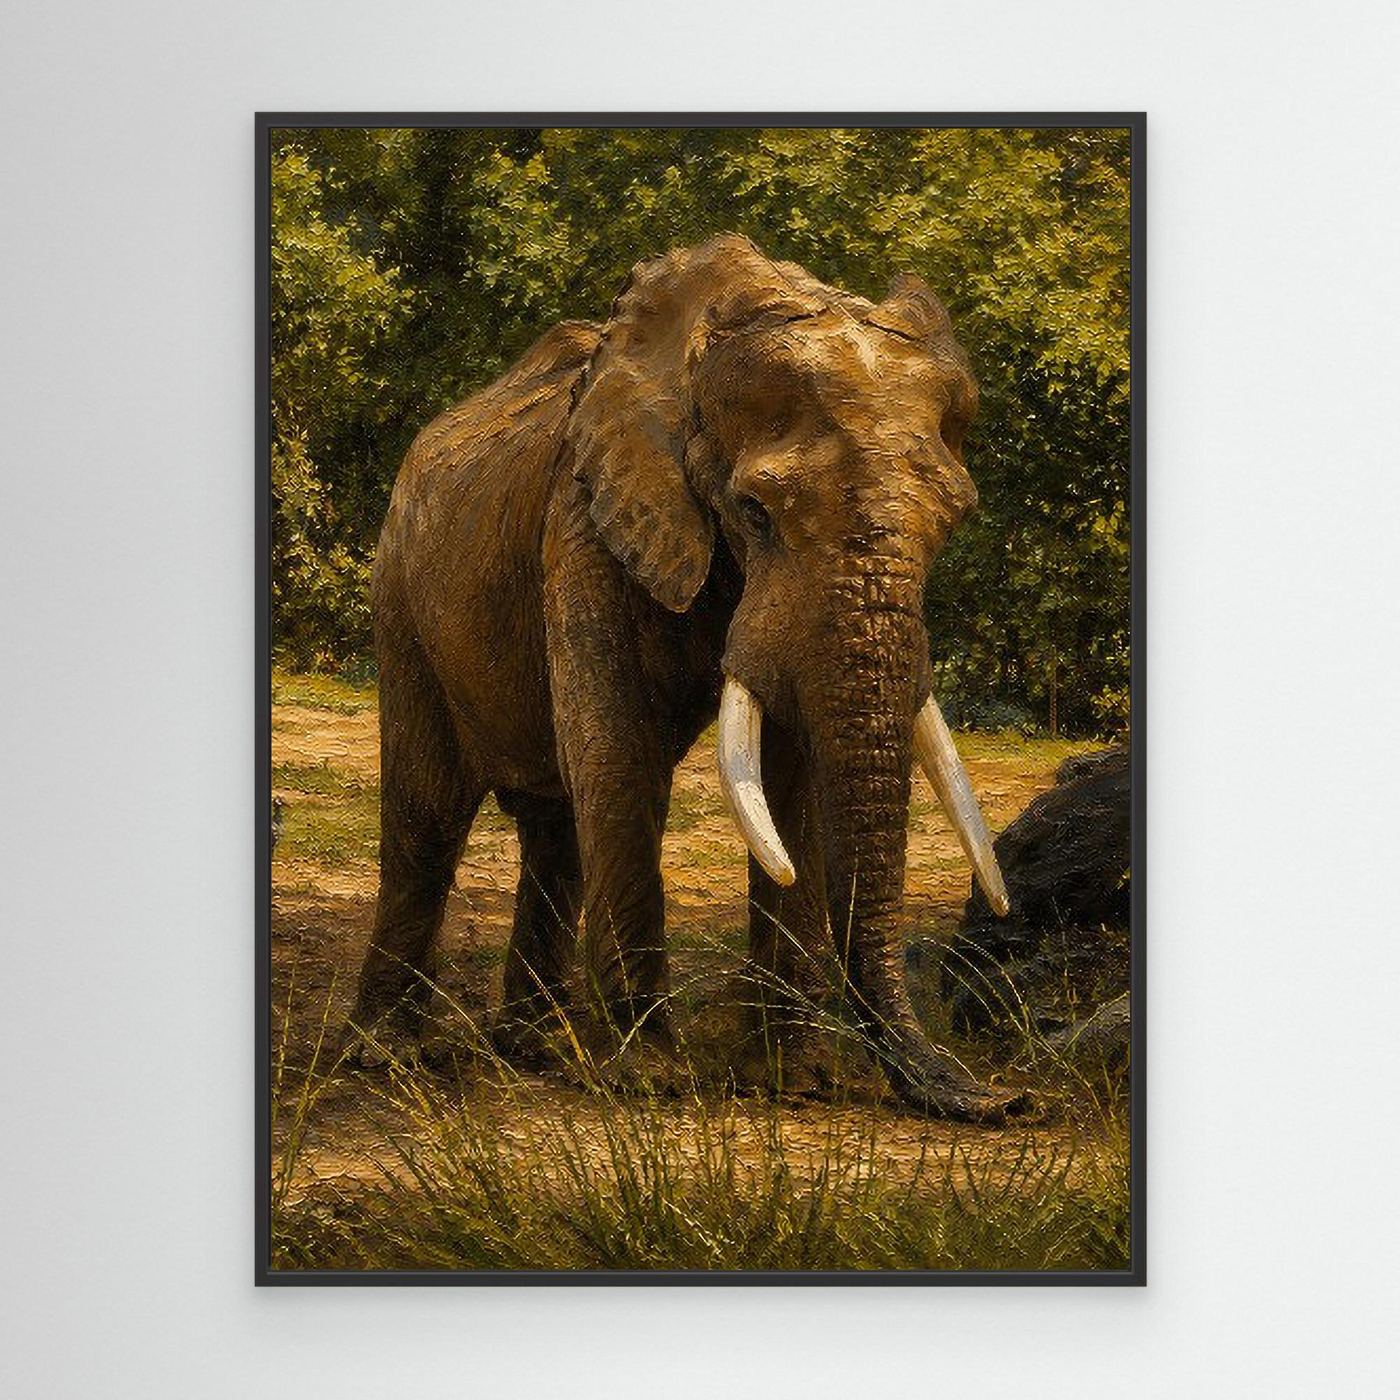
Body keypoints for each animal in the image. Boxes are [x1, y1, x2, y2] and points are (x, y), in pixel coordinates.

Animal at [348, 233, 1023, 1121]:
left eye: (952, 523)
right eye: (756, 512)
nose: (1000, 1100)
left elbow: (792, 774)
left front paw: (794, 1081)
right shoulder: (588, 515)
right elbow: (622, 756)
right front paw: (649, 1080)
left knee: (554, 828)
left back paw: (532, 1050)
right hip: (402, 593)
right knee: (428, 811)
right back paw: (390, 1058)